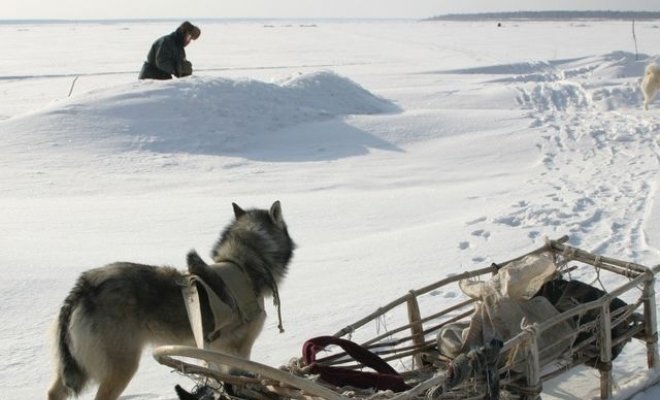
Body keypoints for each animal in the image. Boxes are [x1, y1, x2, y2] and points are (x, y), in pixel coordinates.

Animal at [46, 202, 294, 400]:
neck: (242, 263)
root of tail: (84, 286)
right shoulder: (239, 351)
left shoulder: (214, 351)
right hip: (121, 367)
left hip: (74, 368)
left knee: (54, 392)